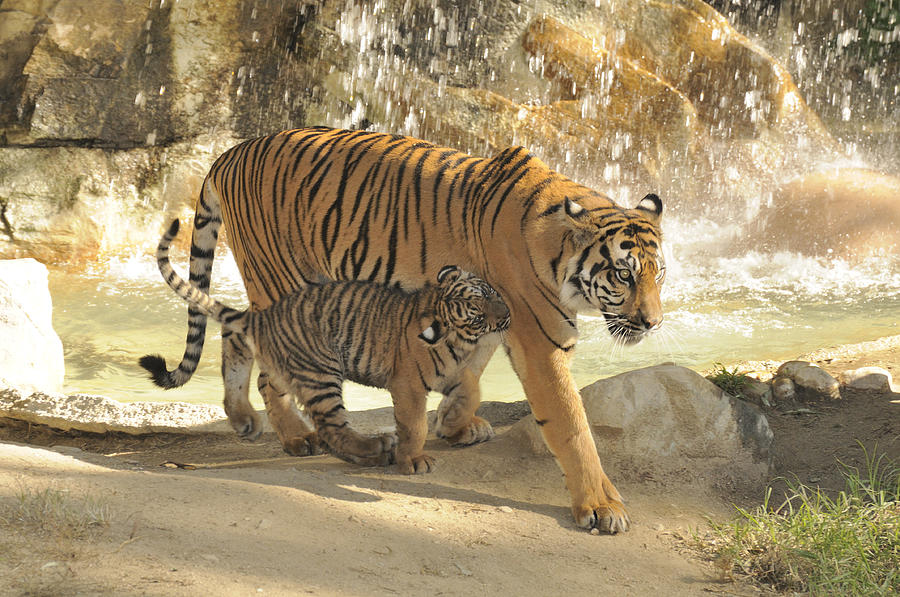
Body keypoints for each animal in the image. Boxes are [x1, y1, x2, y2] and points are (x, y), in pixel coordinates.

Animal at [155, 125, 664, 532]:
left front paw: (456, 424)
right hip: (285, 283)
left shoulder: (497, 315)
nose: (653, 322)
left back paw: (242, 417)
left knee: (235, 332)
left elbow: (471, 376)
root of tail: (231, 151)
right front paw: (601, 506)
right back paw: (298, 435)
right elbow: (571, 425)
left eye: (659, 274)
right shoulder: (540, 340)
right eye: (624, 275)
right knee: (269, 362)